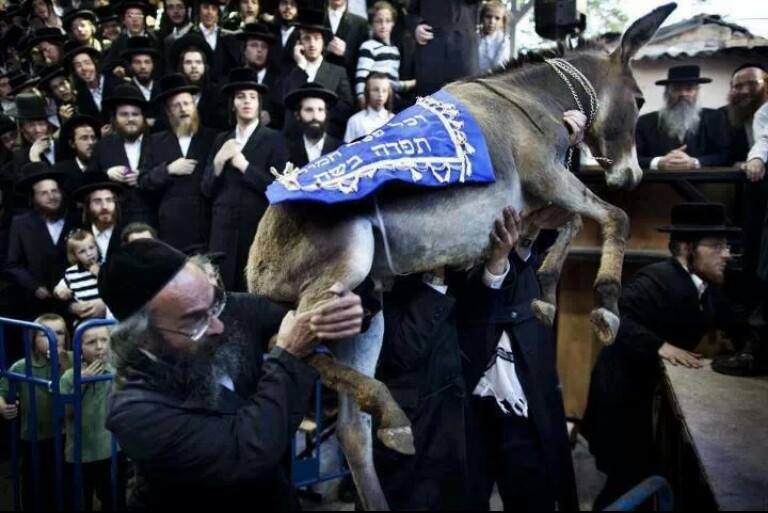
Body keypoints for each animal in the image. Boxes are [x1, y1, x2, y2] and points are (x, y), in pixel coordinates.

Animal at [247, 4, 677, 509]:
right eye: (640, 101)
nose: (632, 177)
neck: (530, 102)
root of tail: (254, 264)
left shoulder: (534, 205)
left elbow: (569, 226)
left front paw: (546, 294)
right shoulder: (549, 178)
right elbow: (615, 218)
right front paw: (606, 307)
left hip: (362, 313)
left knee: (353, 428)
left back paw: (390, 427)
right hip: (345, 268)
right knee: (285, 338)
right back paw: (390, 413)